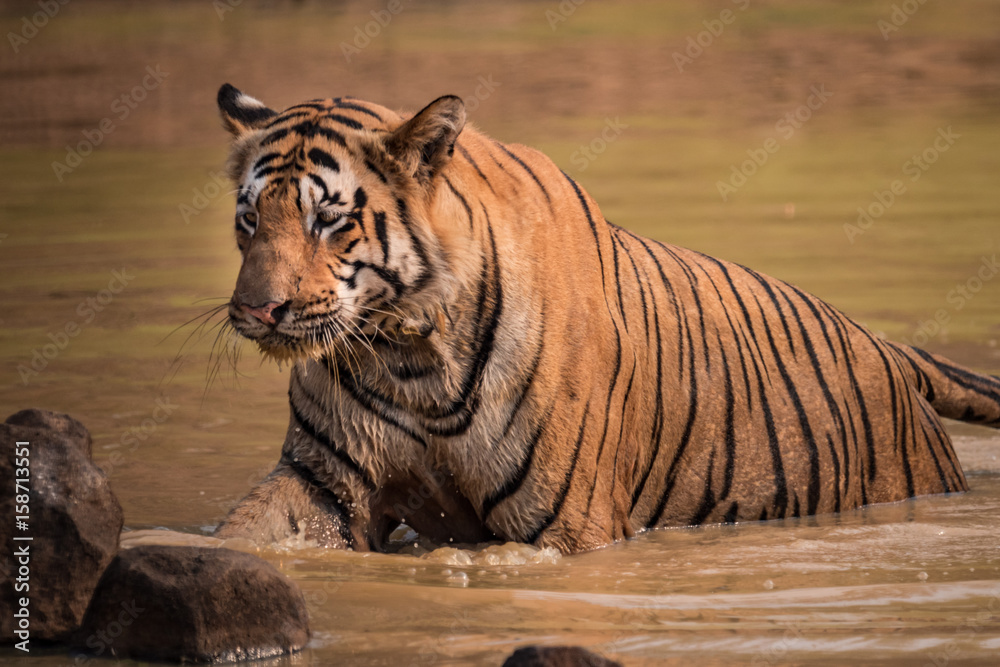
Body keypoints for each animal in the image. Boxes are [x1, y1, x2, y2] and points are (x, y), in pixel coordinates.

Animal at [211, 83, 1000, 554]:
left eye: (327, 219)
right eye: (249, 219)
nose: (256, 309)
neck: (405, 351)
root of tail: (892, 350)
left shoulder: (566, 525)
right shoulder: (322, 480)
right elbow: (243, 535)